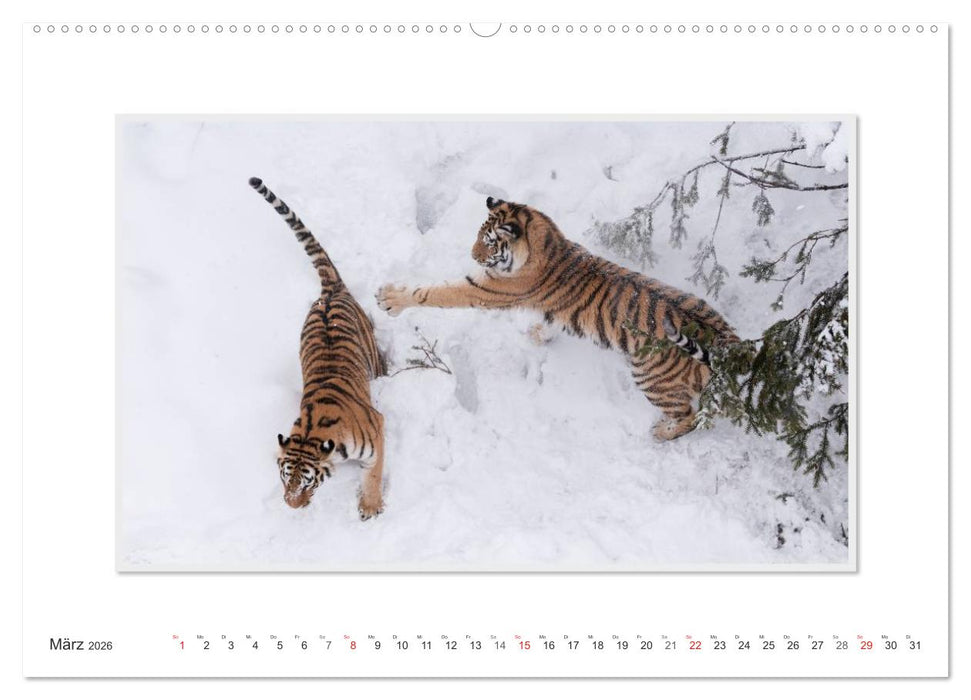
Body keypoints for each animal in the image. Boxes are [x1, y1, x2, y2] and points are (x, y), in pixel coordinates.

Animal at [249, 177, 387, 519]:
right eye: (285, 479)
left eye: (308, 482)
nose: (292, 505)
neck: (313, 433)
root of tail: (329, 292)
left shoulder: (377, 429)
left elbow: (373, 474)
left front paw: (370, 506)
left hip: (374, 358)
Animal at [376, 196, 739, 441]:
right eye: (479, 235)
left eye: (489, 242)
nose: (473, 255)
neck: (544, 237)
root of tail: (728, 342)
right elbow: (551, 323)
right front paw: (538, 335)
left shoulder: (488, 289)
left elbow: (438, 292)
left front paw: (391, 298)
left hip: (651, 378)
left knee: (691, 415)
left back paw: (662, 432)